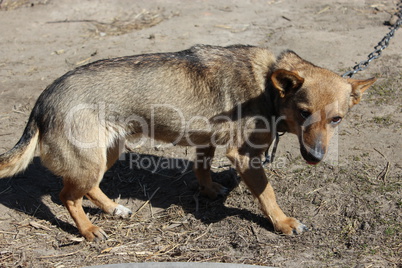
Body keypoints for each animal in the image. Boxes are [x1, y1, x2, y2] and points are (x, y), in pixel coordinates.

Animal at [0, 44, 376, 241]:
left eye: (337, 119)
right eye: (303, 112)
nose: (315, 156)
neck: (268, 85)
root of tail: (43, 99)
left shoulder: (205, 141)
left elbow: (202, 170)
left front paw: (208, 192)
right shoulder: (244, 157)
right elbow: (267, 194)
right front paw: (282, 223)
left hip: (106, 155)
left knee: (87, 189)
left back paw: (113, 209)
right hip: (89, 162)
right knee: (67, 196)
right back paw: (90, 229)